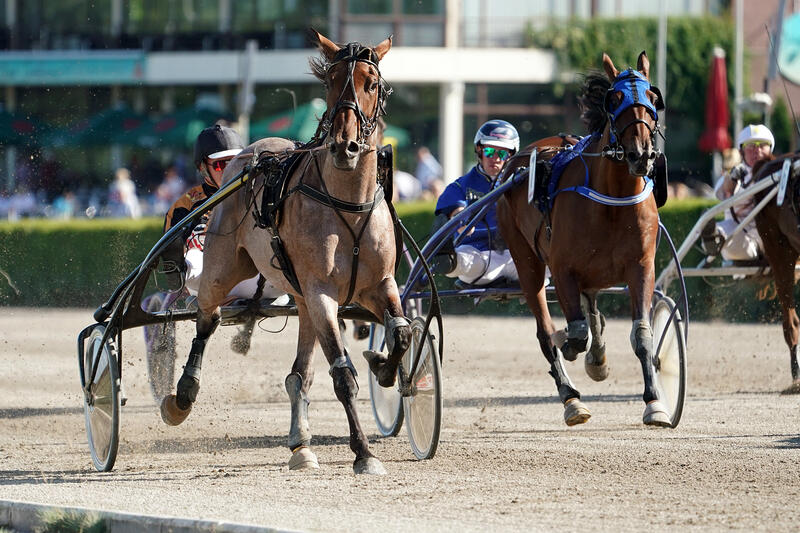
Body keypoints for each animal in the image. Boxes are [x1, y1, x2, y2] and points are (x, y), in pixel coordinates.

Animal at [158, 30, 412, 474]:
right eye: (331, 83)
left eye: (371, 84)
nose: (345, 147)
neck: (348, 201)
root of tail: (251, 153)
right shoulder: (321, 292)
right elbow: (342, 375)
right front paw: (364, 452)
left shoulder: (378, 285)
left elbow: (401, 332)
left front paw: (382, 368)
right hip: (224, 267)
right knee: (208, 317)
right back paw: (183, 394)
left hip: (300, 297)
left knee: (299, 374)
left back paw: (301, 444)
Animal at [494, 52, 668, 426]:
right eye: (614, 99)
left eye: (652, 97)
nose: (641, 154)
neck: (613, 199)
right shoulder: (563, 270)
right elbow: (573, 333)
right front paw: (571, 348)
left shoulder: (641, 267)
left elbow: (641, 334)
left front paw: (654, 401)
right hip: (525, 259)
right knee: (547, 330)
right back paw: (570, 397)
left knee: (591, 310)